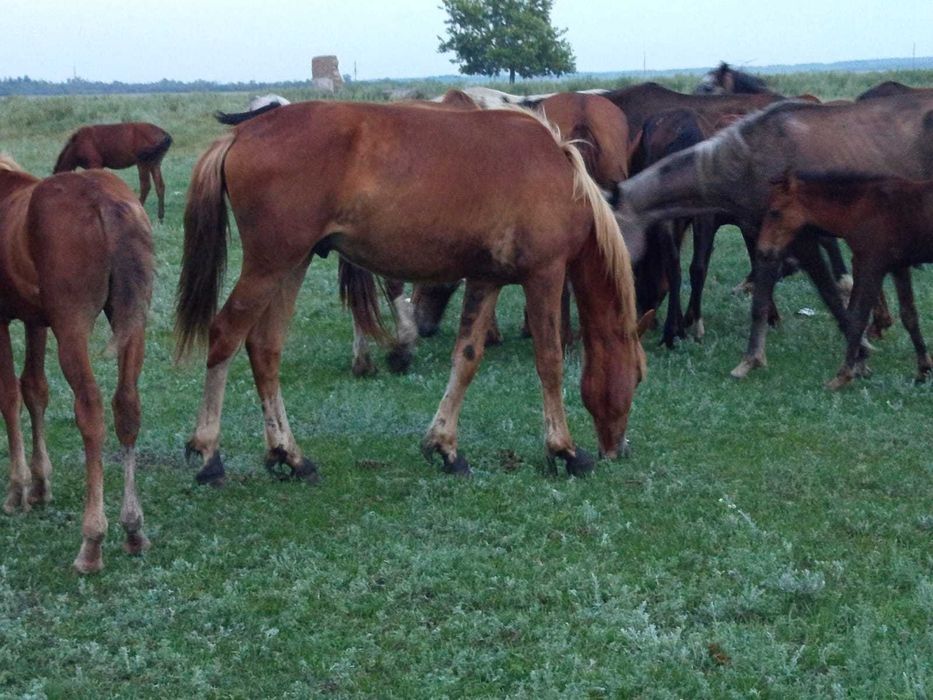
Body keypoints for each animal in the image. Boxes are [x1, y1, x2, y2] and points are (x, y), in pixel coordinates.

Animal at [0, 155, 153, 574]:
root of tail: (104, 199)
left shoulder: (0, 320)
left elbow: (9, 395)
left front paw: (17, 490)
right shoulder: (35, 320)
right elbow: (34, 389)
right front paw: (40, 486)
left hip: (72, 328)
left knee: (91, 412)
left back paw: (92, 541)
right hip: (131, 322)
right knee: (127, 406)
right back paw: (133, 529)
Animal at [175, 101, 647, 484]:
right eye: (638, 377)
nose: (619, 449)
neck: (561, 177)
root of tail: (240, 133)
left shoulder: (486, 280)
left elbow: (467, 358)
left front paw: (445, 447)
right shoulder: (544, 276)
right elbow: (549, 361)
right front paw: (564, 449)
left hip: (292, 264)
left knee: (264, 347)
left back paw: (289, 456)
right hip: (270, 264)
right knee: (225, 335)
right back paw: (209, 455)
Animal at [743, 172, 933, 388]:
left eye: (775, 212)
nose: (762, 250)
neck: (863, 207)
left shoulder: (870, 265)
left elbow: (857, 318)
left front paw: (843, 375)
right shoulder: (898, 266)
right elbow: (909, 315)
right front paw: (923, 369)